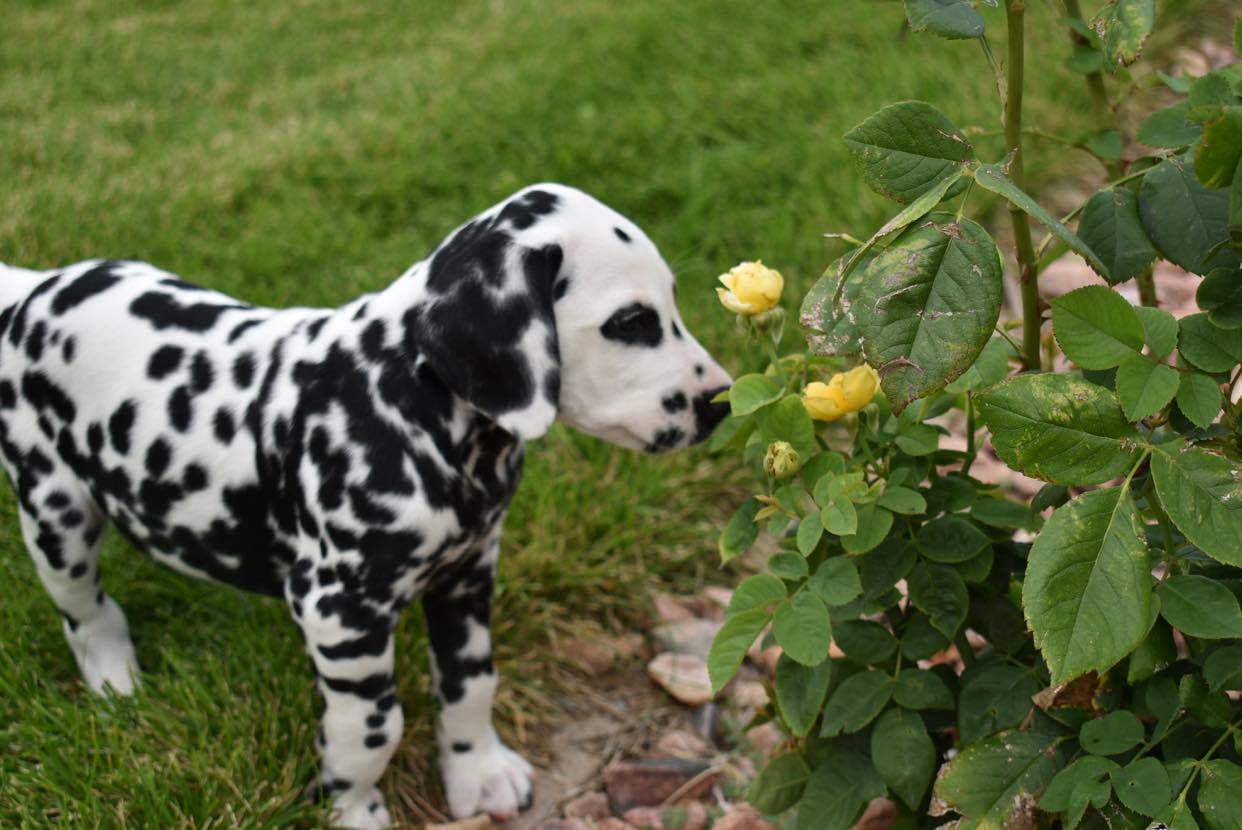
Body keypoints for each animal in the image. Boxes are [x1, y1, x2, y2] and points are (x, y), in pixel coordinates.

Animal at [0, 184, 731, 828]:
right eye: (629, 323)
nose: (720, 402)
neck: (400, 398)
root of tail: (32, 292)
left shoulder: (468, 571)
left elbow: (470, 683)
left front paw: (478, 772)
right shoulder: (338, 610)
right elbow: (375, 727)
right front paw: (351, 808)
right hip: (56, 513)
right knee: (87, 614)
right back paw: (116, 684)